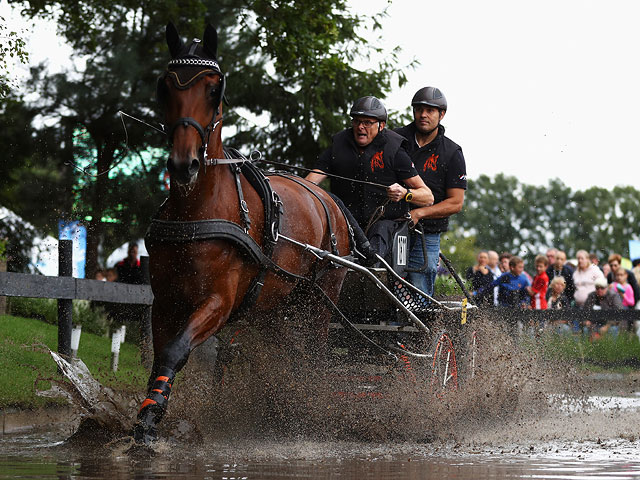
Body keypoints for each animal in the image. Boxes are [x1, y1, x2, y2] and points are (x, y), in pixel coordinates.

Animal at [133, 21, 352, 442]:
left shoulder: (219, 302)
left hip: (321, 298)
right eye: (165, 86)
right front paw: (147, 417)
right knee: (285, 356)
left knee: (313, 356)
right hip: (275, 304)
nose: (184, 163)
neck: (197, 211)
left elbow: (176, 350)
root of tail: (328, 199)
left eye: (214, 89)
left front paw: (150, 420)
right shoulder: (166, 299)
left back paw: (307, 413)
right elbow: (161, 355)